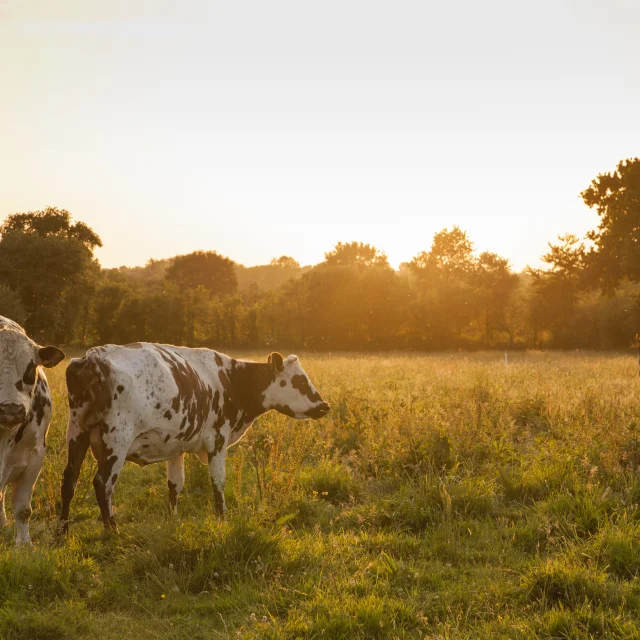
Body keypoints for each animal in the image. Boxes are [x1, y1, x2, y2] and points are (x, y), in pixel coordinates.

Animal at [58, 342, 330, 532]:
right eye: (299, 380)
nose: (324, 405)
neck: (230, 380)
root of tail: (93, 358)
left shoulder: (174, 445)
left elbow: (175, 484)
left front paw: (172, 520)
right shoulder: (218, 440)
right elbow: (218, 482)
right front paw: (223, 518)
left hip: (76, 431)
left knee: (69, 479)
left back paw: (62, 531)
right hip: (117, 439)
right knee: (103, 484)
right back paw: (112, 531)